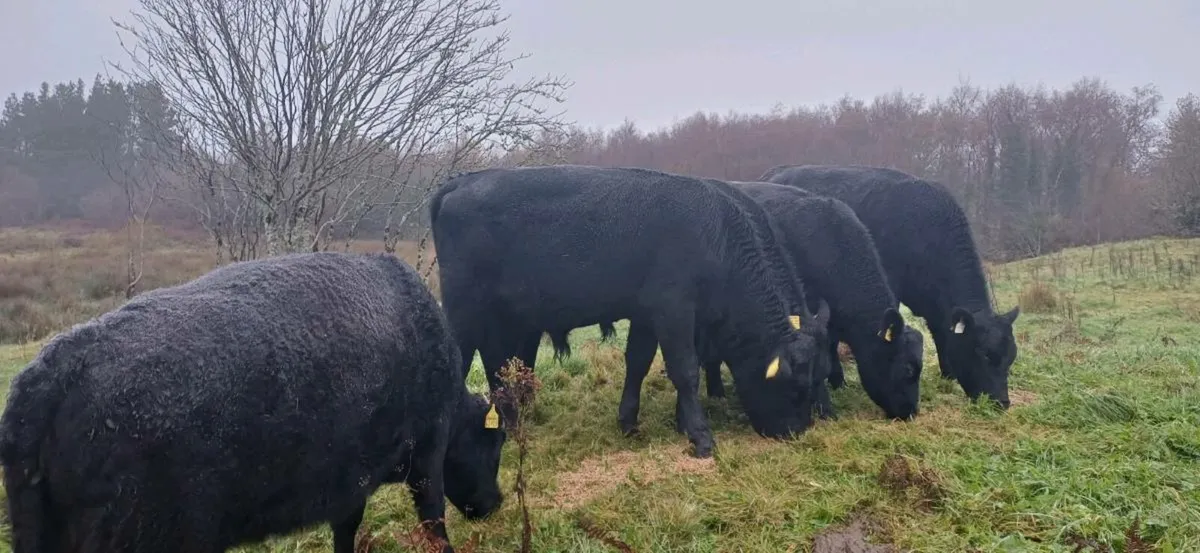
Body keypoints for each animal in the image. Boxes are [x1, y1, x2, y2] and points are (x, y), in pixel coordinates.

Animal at [0, 252, 506, 553]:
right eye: (494, 442)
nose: (495, 503)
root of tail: (54, 371)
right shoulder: (426, 450)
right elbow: (432, 520)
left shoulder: (347, 478)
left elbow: (346, 528)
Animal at [430, 164, 830, 458]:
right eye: (797, 387)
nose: (797, 432)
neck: (716, 235)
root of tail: (462, 182)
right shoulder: (674, 310)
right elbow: (685, 370)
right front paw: (700, 436)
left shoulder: (646, 314)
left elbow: (637, 362)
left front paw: (630, 421)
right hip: (465, 309)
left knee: (497, 364)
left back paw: (512, 425)